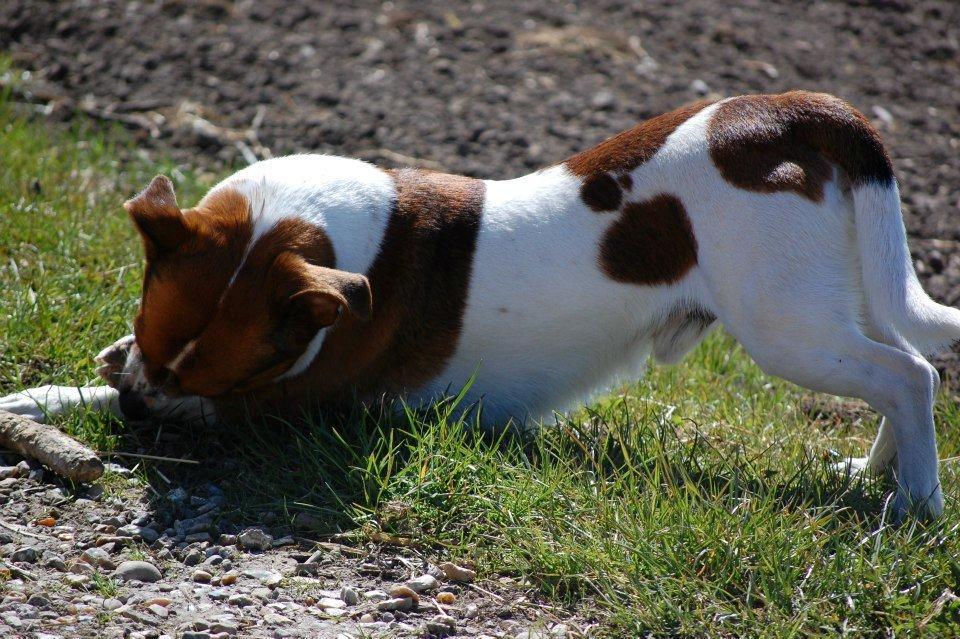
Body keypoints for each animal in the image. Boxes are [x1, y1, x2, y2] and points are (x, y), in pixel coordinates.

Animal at [1, 92, 960, 516]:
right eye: (141, 326)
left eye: (230, 376)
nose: (138, 401)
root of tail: (792, 109)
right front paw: (60, 390)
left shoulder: (281, 407)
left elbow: (149, 406)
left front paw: (63, 401)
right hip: (829, 301)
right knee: (901, 368)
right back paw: (872, 472)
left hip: (783, 324)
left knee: (909, 374)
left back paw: (915, 500)